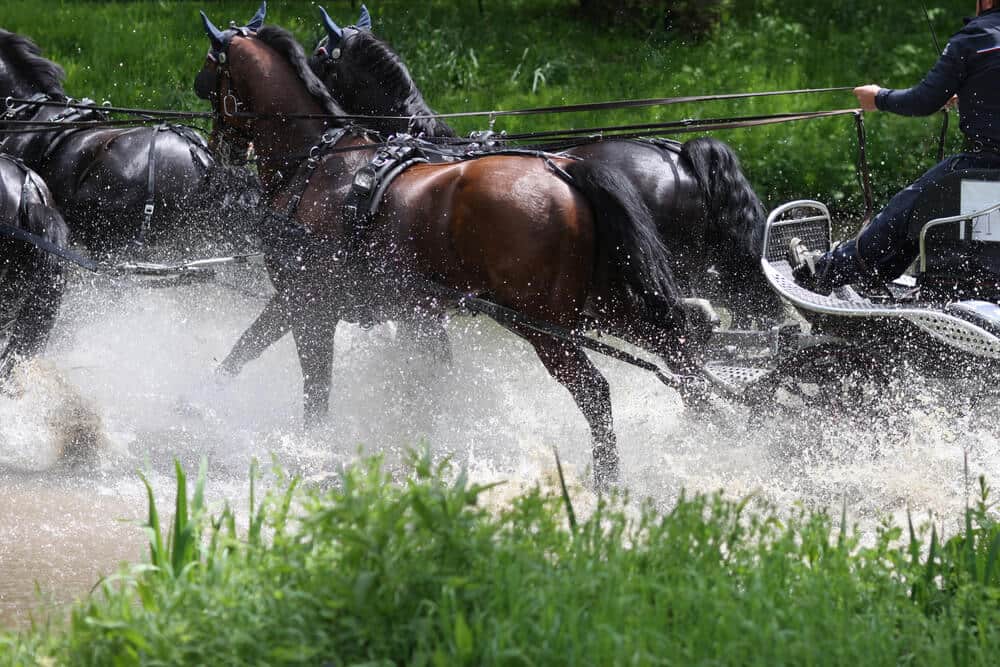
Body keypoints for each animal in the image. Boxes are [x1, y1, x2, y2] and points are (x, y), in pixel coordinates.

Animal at [194, 10, 709, 487]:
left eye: (209, 76)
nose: (215, 149)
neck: (319, 163)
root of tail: (565, 170)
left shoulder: (308, 303)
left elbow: (304, 378)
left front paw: (306, 445)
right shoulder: (385, 312)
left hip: (544, 326)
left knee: (597, 392)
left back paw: (608, 478)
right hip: (606, 305)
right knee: (680, 351)